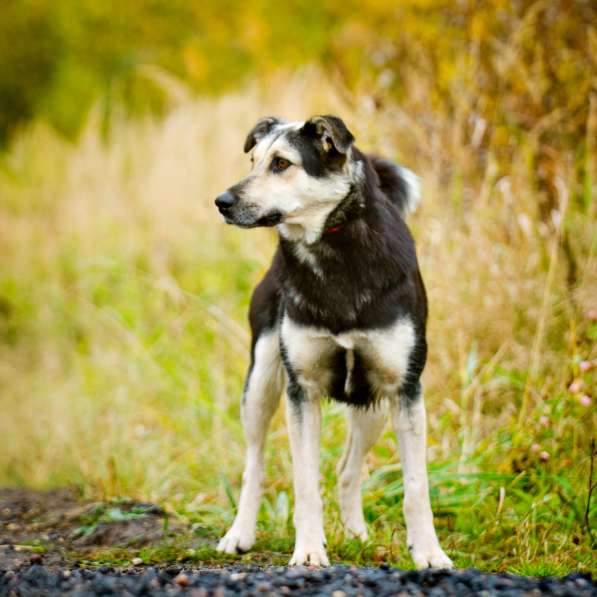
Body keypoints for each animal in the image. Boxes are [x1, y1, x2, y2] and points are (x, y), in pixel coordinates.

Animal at [212, 114, 450, 564]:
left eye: (281, 163)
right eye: (253, 160)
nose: (222, 201)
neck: (335, 249)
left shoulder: (404, 389)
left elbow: (417, 487)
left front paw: (428, 553)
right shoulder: (301, 390)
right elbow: (305, 482)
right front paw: (308, 551)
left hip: (374, 405)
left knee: (347, 470)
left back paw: (357, 533)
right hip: (260, 384)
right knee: (255, 464)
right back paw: (240, 533)